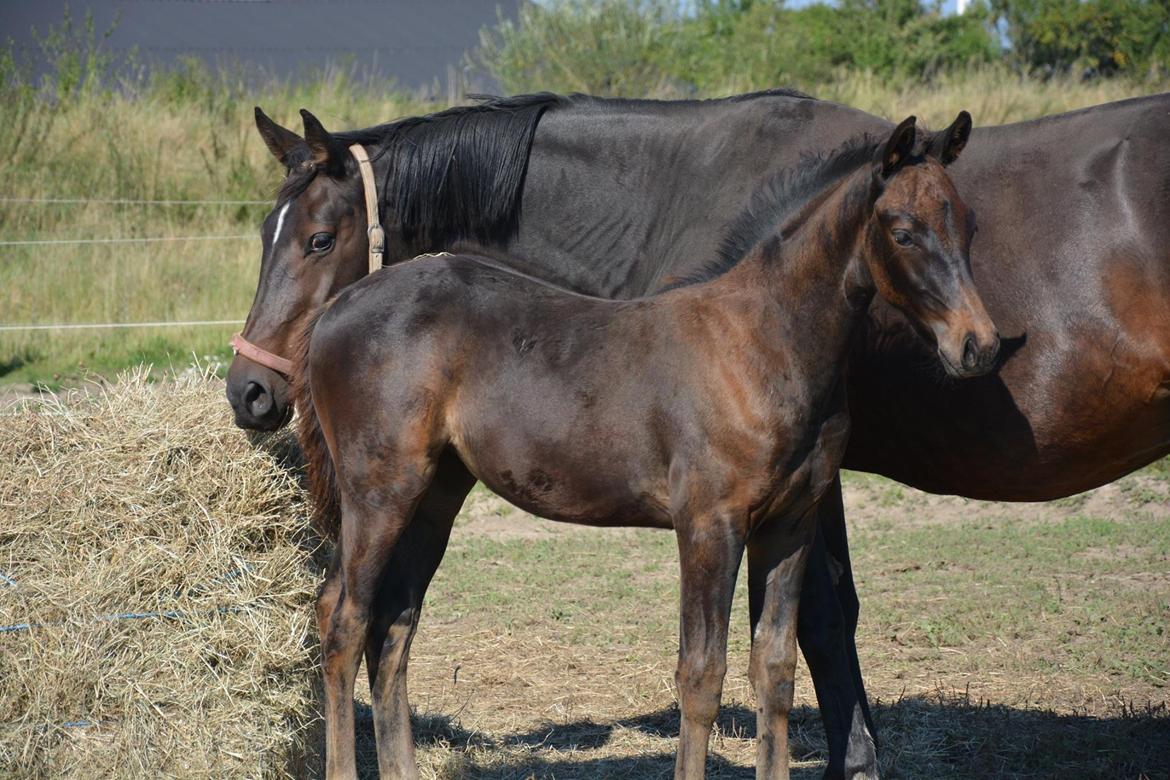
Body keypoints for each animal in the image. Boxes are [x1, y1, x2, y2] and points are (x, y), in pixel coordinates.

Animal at [225, 90, 1170, 780]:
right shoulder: (708, 525)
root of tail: (344, 315)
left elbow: (776, 669)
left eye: (969, 226)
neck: (763, 337)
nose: (978, 346)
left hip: (433, 498)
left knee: (392, 631)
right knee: (343, 621)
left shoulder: (790, 522)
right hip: (381, 492)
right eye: (903, 231)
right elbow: (704, 676)